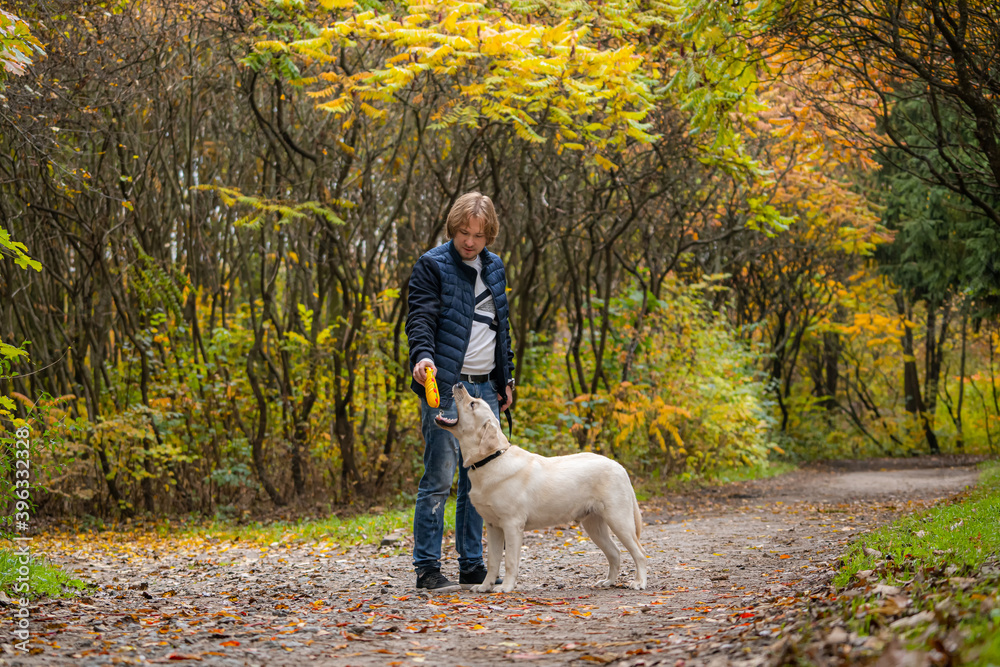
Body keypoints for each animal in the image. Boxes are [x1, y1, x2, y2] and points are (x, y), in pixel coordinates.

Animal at [438, 384, 648, 592]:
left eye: (472, 404)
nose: (459, 384)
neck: (491, 459)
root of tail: (619, 467)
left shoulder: (512, 524)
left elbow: (510, 561)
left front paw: (505, 587)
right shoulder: (493, 526)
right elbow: (493, 561)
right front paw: (485, 586)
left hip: (619, 519)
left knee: (639, 552)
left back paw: (639, 582)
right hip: (593, 524)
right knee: (615, 552)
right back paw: (608, 581)